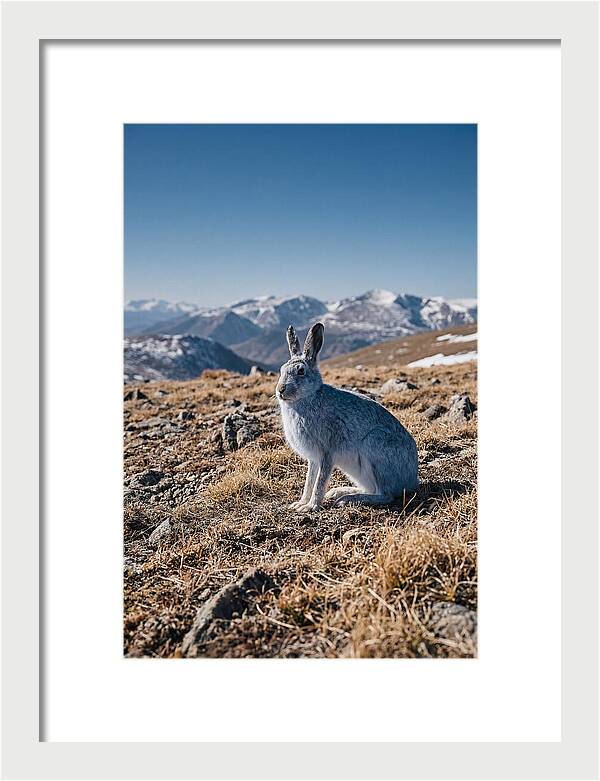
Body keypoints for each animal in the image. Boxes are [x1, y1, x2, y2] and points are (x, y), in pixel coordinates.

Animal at [276, 322, 419, 512]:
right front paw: (300, 503)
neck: (308, 397)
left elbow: (319, 482)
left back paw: (348, 499)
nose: (280, 390)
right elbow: (309, 481)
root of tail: (412, 481)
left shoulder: (327, 452)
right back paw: (339, 492)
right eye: (281, 369)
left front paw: (311, 506)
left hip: (375, 447)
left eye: (301, 371)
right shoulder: (313, 459)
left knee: (385, 494)